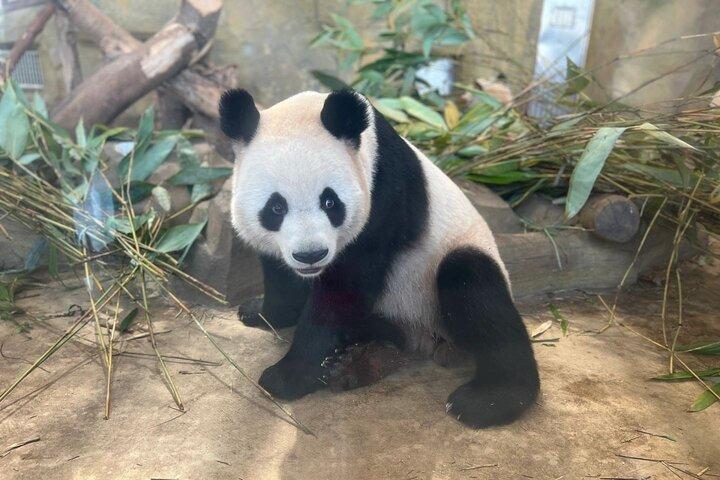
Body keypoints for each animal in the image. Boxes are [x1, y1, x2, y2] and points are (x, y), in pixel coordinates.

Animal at [219, 88, 540, 428]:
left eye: (330, 202)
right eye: (276, 207)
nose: (311, 254)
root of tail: (426, 338)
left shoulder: (384, 195)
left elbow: (343, 291)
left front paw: (288, 376)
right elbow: (281, 275)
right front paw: (260, 312)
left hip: (446, 265)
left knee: (475, 289)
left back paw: (489, 400)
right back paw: (357, 359)